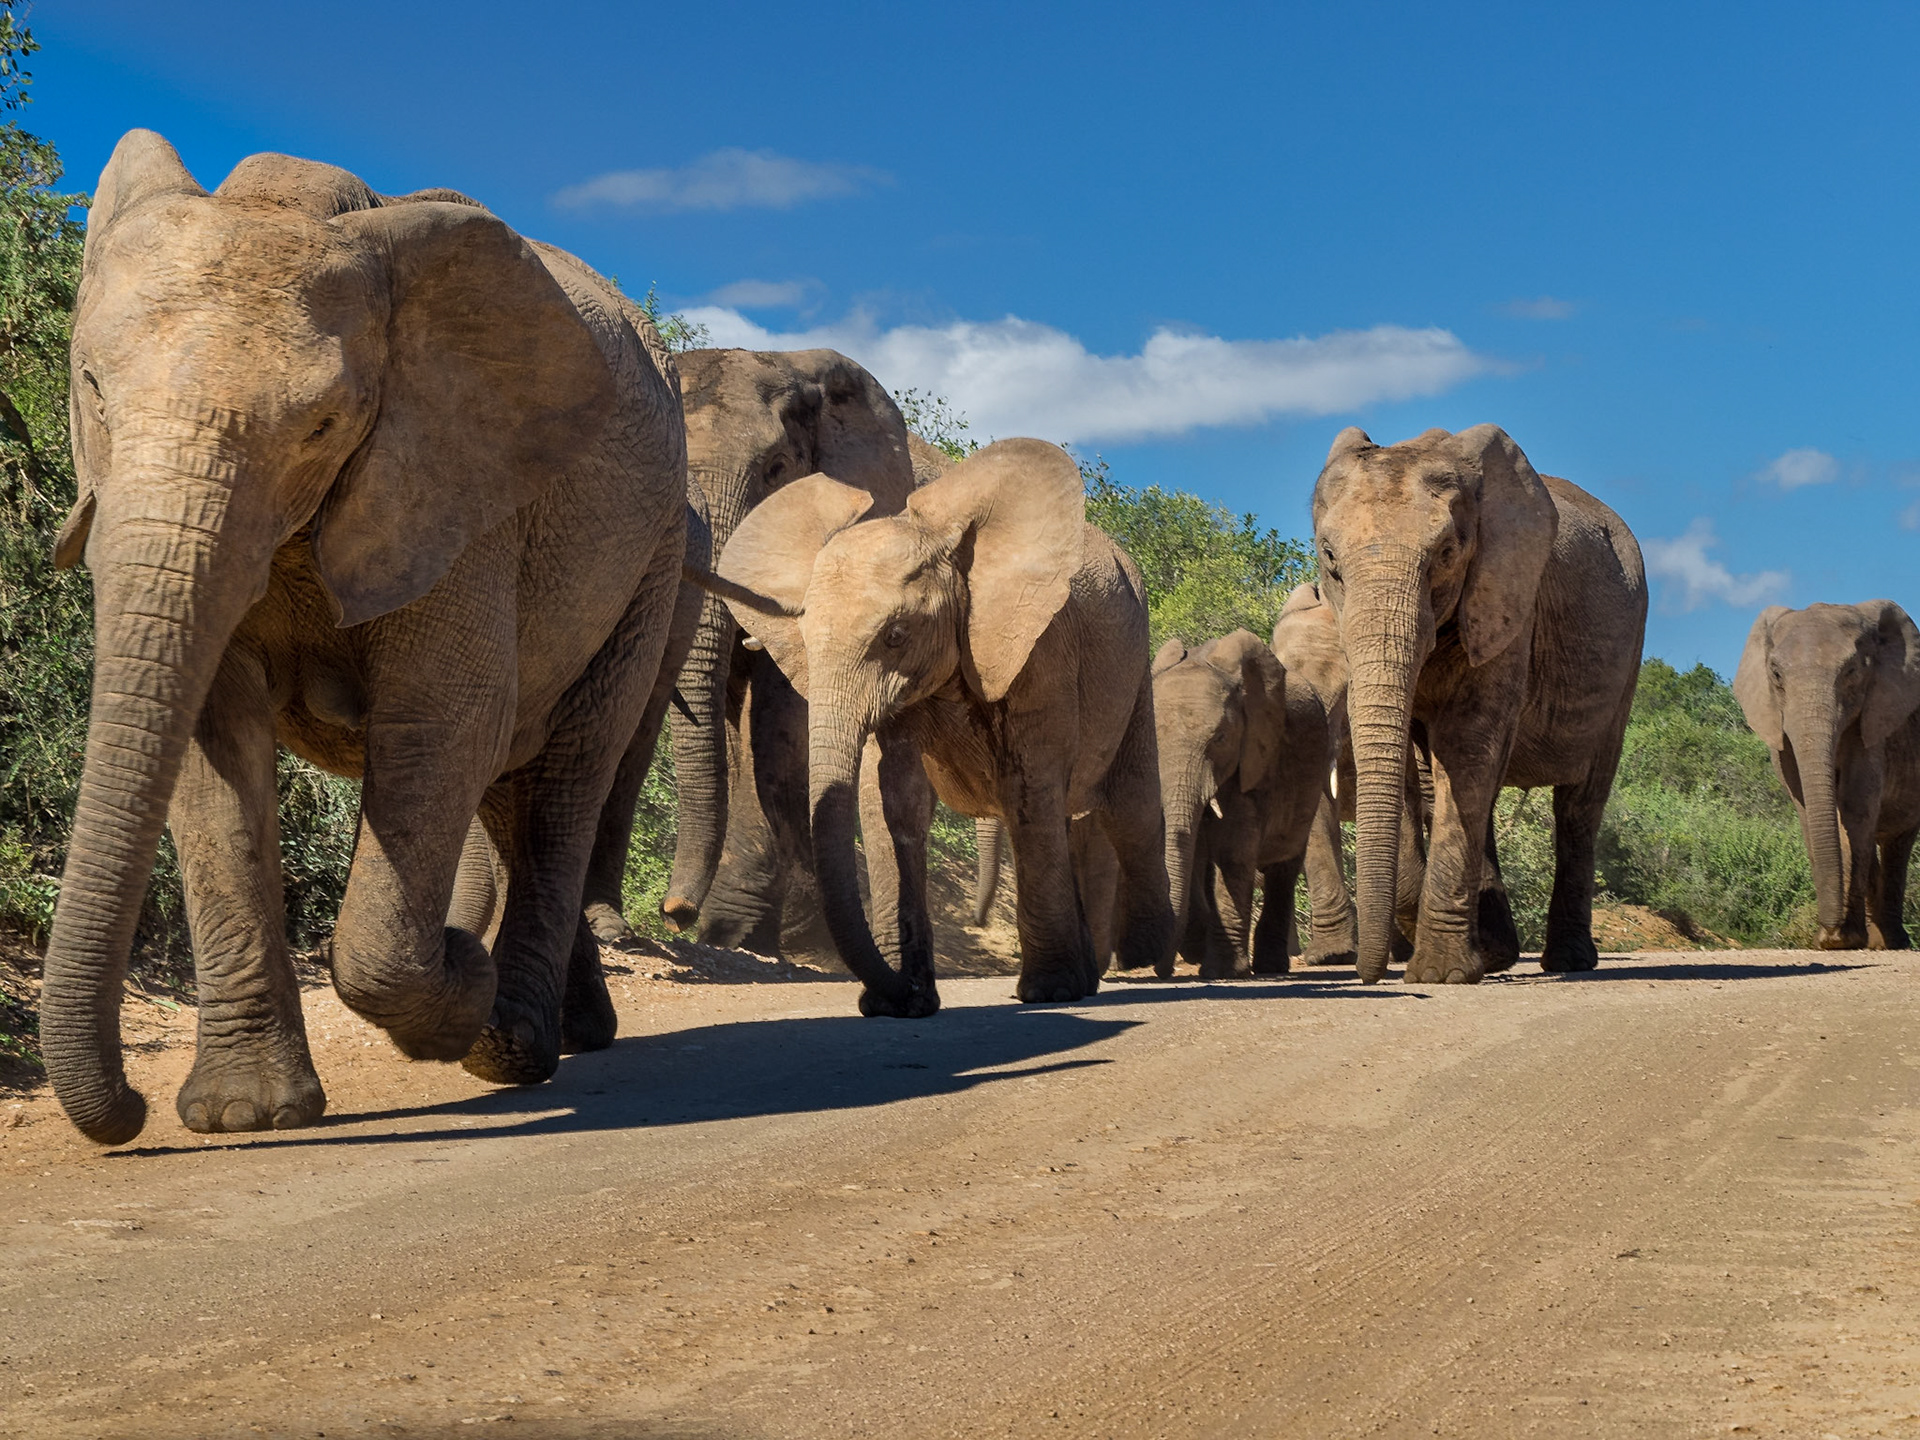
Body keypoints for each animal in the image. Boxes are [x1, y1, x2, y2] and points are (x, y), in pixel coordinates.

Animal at [42, 132, 687, 1144]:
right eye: (94, 390)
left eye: (323, 426)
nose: (130, 1110)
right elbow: (212, 740)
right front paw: (243, 1116)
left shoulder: (462, 488)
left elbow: (441, 724)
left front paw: (459, 985)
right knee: (514, 785)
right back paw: (573, 1033)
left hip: (654, 556)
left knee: (567, 774)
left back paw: (510, 1048)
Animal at [711, 438, 1175, 1012]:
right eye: (804, 635)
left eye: (896, 635)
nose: (902, 991)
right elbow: (893, 801)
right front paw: (900, 1004)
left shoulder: (1041, 647)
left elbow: (1027, 788)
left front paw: (1047, 993)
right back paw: (1090, 979)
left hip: (1136, 672)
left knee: (1129, 810)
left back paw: (1146, 962)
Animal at [1312, 425, 1646, 985]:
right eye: (1329, 557)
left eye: (1447, 553)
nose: (1368, 975)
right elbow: (1418, 767)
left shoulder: (1507, 604)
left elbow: (1466, 744)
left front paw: (1439, 976)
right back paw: (1495, 955)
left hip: (1630, 645)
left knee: (1579, 805)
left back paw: (1568, 961)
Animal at [1733, 601, 1920, 949]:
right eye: (1775, 674)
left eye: (1851, 672)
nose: (1828, 933)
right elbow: (1808, 807)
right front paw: (1835, 940)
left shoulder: (1873, 722)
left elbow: (1856, 807)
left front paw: (1844, 939)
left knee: (1897, 842)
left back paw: (1893, 942)